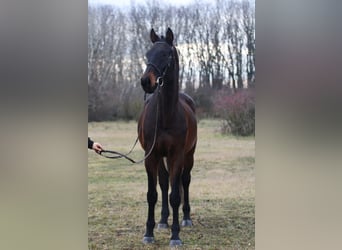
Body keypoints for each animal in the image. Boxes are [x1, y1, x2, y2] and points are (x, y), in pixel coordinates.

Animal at [137, 27, 196, 246]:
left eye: (165, 55)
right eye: (148, 54)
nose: (146, 82)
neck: (164, 116)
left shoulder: (176, 155)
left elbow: (176, 195)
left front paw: (176, 235)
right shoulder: (151, 156)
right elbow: (152, 193)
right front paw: (149, 232)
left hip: (189, 155)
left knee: (184, 181)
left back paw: (186, 218)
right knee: (163, 182)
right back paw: (163, 221)